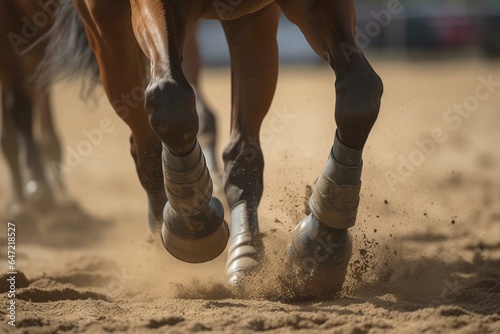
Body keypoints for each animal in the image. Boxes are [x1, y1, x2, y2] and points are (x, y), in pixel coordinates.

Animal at [44, 0, 386, 298]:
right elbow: (170, 101)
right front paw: (193, 221)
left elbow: (360, 92)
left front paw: (322, 243)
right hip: (106, 27)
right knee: (145, 137)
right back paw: (164, 228)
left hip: (249, 22)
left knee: (239, 151)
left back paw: (245, 254)